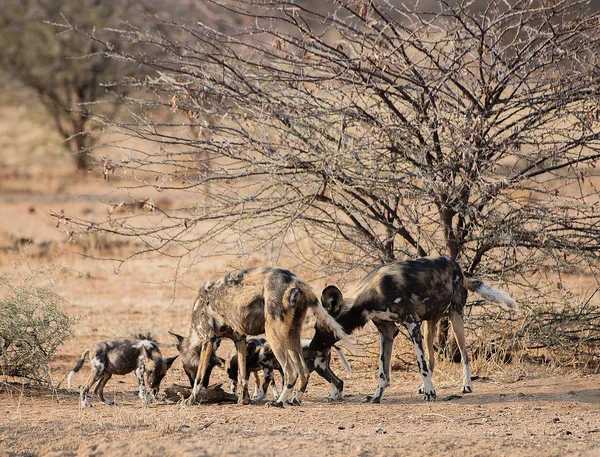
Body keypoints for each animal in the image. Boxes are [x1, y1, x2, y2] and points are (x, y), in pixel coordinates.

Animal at [185, 268, 350, 406]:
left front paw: (191, 400)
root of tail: (296, 280)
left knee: (291, 372)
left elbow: (199, 378)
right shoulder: (240, 339)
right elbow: (243, 376)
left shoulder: (208, 339)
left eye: (188, 370)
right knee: (303, 372)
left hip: (274, 335)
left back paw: (278, 402)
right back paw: (295, 400)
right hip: (292, 336)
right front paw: (244, 401)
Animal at [310, 256, 516, 402]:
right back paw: (424, 386)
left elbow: (420, 365)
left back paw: (466, 385)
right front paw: (377, 396)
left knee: (464, 356)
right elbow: (383, 371)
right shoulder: (387, 332)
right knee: (432, 358)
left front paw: (431, 394)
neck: (369, 295)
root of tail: (457, 266)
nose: (311, 346)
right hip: (428, 326)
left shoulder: (411, 325)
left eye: (322, 328)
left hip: (455, 318)